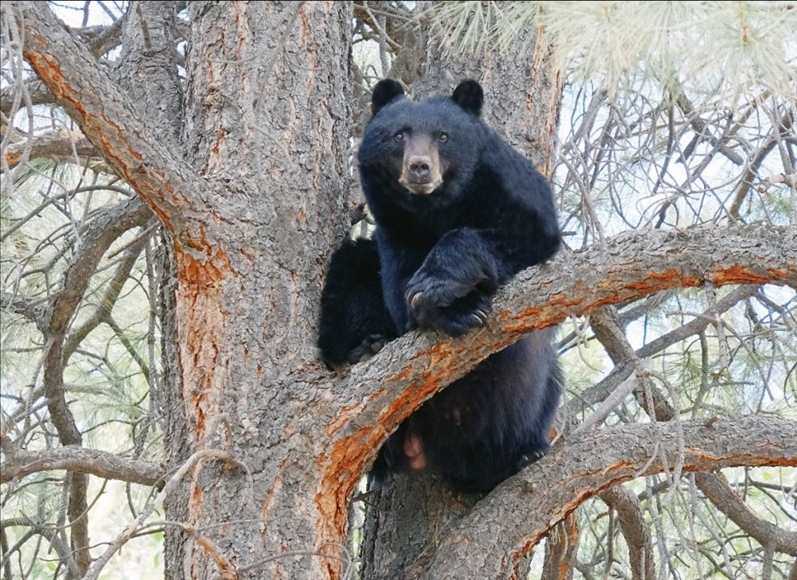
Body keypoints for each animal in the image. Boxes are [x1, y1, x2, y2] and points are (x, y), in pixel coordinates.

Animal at [318, 78, 560, 490]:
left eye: (443, 136)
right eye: (399, 135)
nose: (419, 167)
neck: (434, 210)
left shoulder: (509, 185)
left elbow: (530, 235)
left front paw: (438, 284)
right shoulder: (395, 232)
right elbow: (399, 297)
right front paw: (452, 309)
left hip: (527, 402)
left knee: (545, 384)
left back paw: (523, 453)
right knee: (348, 273)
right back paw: (363, 349)